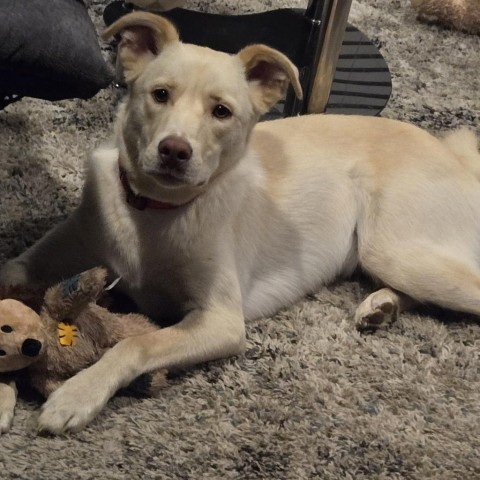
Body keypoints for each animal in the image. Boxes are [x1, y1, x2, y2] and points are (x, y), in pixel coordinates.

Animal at [0, 11, 480, 434]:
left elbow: (135, 342)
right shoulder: (64, 246)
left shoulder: (221, 320)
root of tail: (454, 155)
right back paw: (382, 308)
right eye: (160, 94)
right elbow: (12, 276)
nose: (174, 151)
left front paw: (77, 394)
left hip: (395, 249)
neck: (152, 211)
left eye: (221, 112)